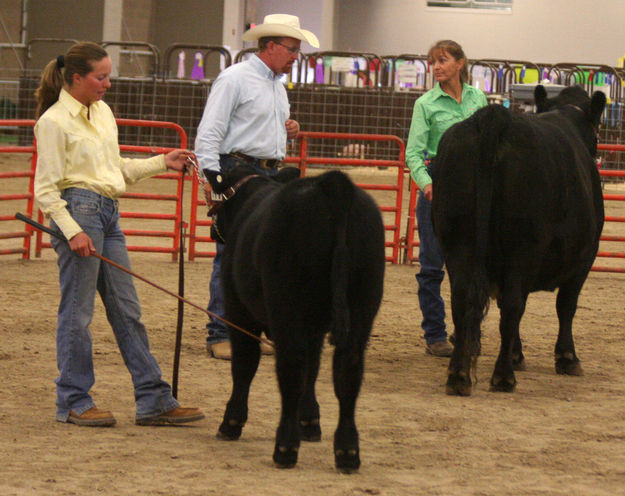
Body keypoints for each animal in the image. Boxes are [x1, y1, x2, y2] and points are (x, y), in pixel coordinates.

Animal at [204, 165, 386, 470]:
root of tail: (330, 184)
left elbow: (245, 364)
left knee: (291, 367)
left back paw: (285, 448)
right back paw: (347, 452)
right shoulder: (313, 328)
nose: (212, 231)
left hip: (286, 304)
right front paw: (310, 422)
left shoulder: (239, 310)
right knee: (347, 370)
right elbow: (313, 370)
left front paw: (232, 422)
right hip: (362, 304)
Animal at [432, 84, 604, 396]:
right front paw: (567, 357)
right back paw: (503, 377)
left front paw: (517, 353)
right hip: (523, 244)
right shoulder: (585, 255)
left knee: (462, 300)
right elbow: (566, 305)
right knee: (513, 304)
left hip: (455, 240)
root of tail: (495, 118)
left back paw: (458, 375)